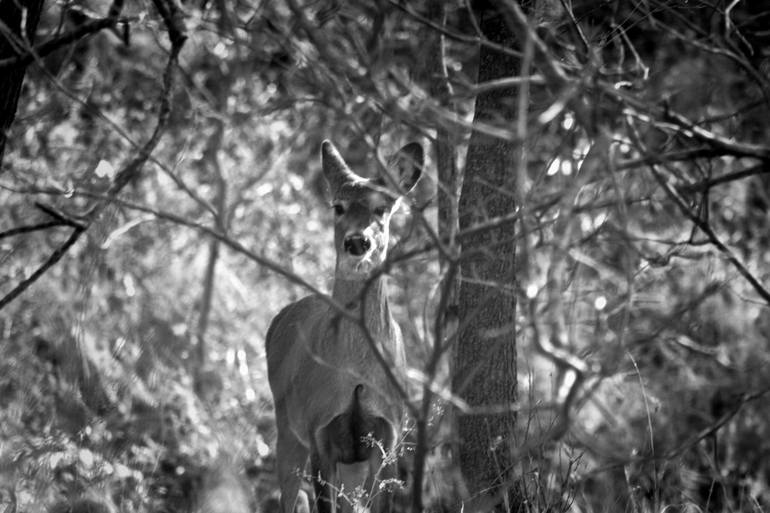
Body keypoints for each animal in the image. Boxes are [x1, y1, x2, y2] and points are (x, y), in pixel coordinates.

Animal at [262, 139, 420, 512]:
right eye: (338, 206)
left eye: (382, 208)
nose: (357, 241)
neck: (356, 372)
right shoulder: (319, 428)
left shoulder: (389, 434)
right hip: (287, 427)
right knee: (290, 496)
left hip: (352, 461)